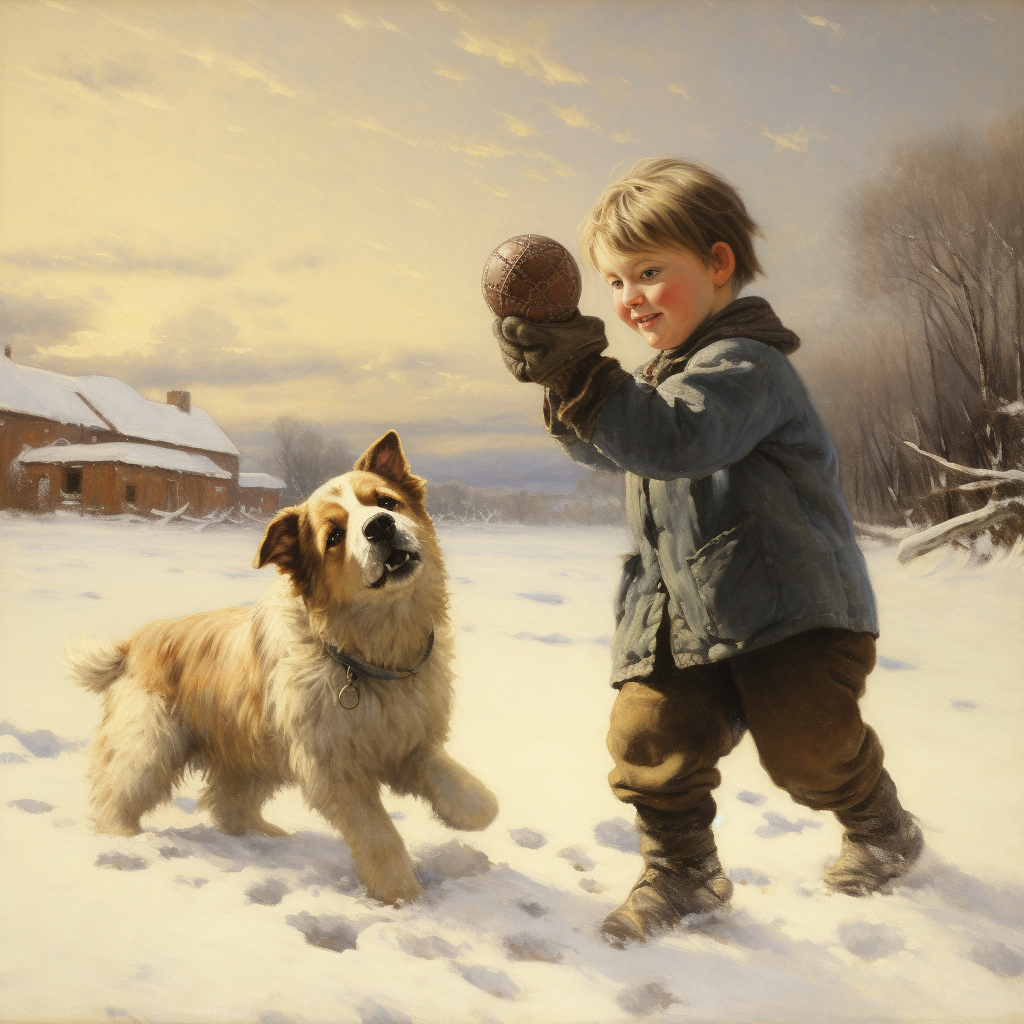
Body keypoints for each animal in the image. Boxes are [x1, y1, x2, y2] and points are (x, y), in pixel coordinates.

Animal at [66, 430, 497, 905]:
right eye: (334, 536)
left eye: (386, 502)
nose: (380, 526)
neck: (367, 654)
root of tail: (132, 643)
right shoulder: (334, 769)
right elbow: (376, 833)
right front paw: (400, 894)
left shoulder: (407, 741)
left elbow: (453, 780)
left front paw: (474, 811)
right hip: (150, 744)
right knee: (117, 795)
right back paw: (122, 845)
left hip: (253, 752)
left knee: (228, 807)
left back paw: (272, 838)